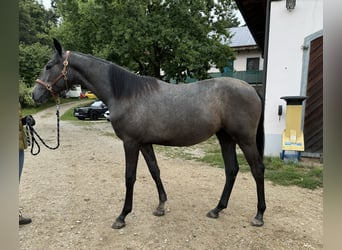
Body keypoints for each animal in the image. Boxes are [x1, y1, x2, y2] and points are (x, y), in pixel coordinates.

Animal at [32, 38, 266, 229]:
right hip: (225, 137)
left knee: (257, 170)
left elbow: (129, 177)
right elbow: (155, 171)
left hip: (244, 139)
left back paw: (259, 215)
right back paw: (217, 209)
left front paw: (122, 216)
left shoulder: (130, 143)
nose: (34, 94)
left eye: (49, 66)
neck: (125, 94)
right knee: (231, 170)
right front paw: (161, 206)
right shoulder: (144, 143)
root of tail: (251, 89)